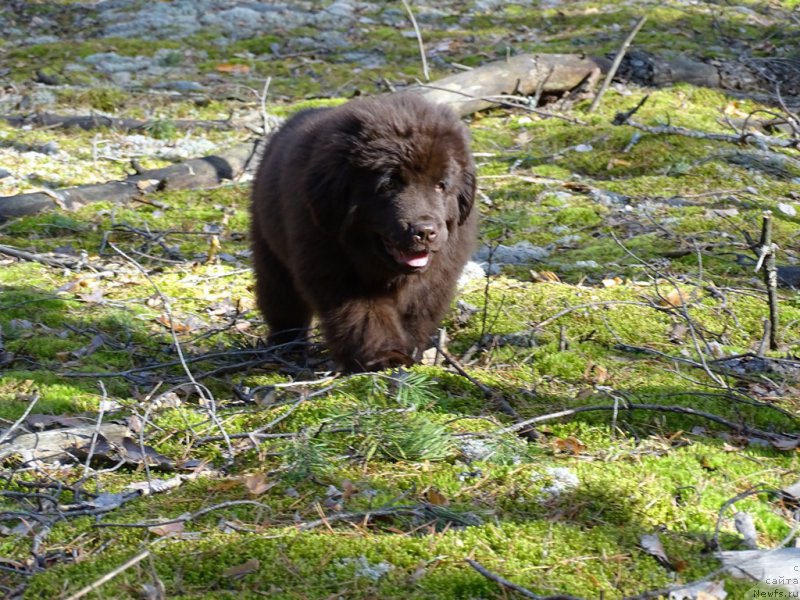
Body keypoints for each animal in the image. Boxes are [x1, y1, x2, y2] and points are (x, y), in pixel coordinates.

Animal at [250, 93, 476, 370]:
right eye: (388, 185)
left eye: (441, 185)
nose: (425, 231)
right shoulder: (334, 268)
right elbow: (364, 315)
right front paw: (385, 356)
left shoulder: (437, 276)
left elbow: (417, 312)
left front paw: (411, 352)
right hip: (269, 248)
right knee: (281, 298)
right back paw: (286, 345)